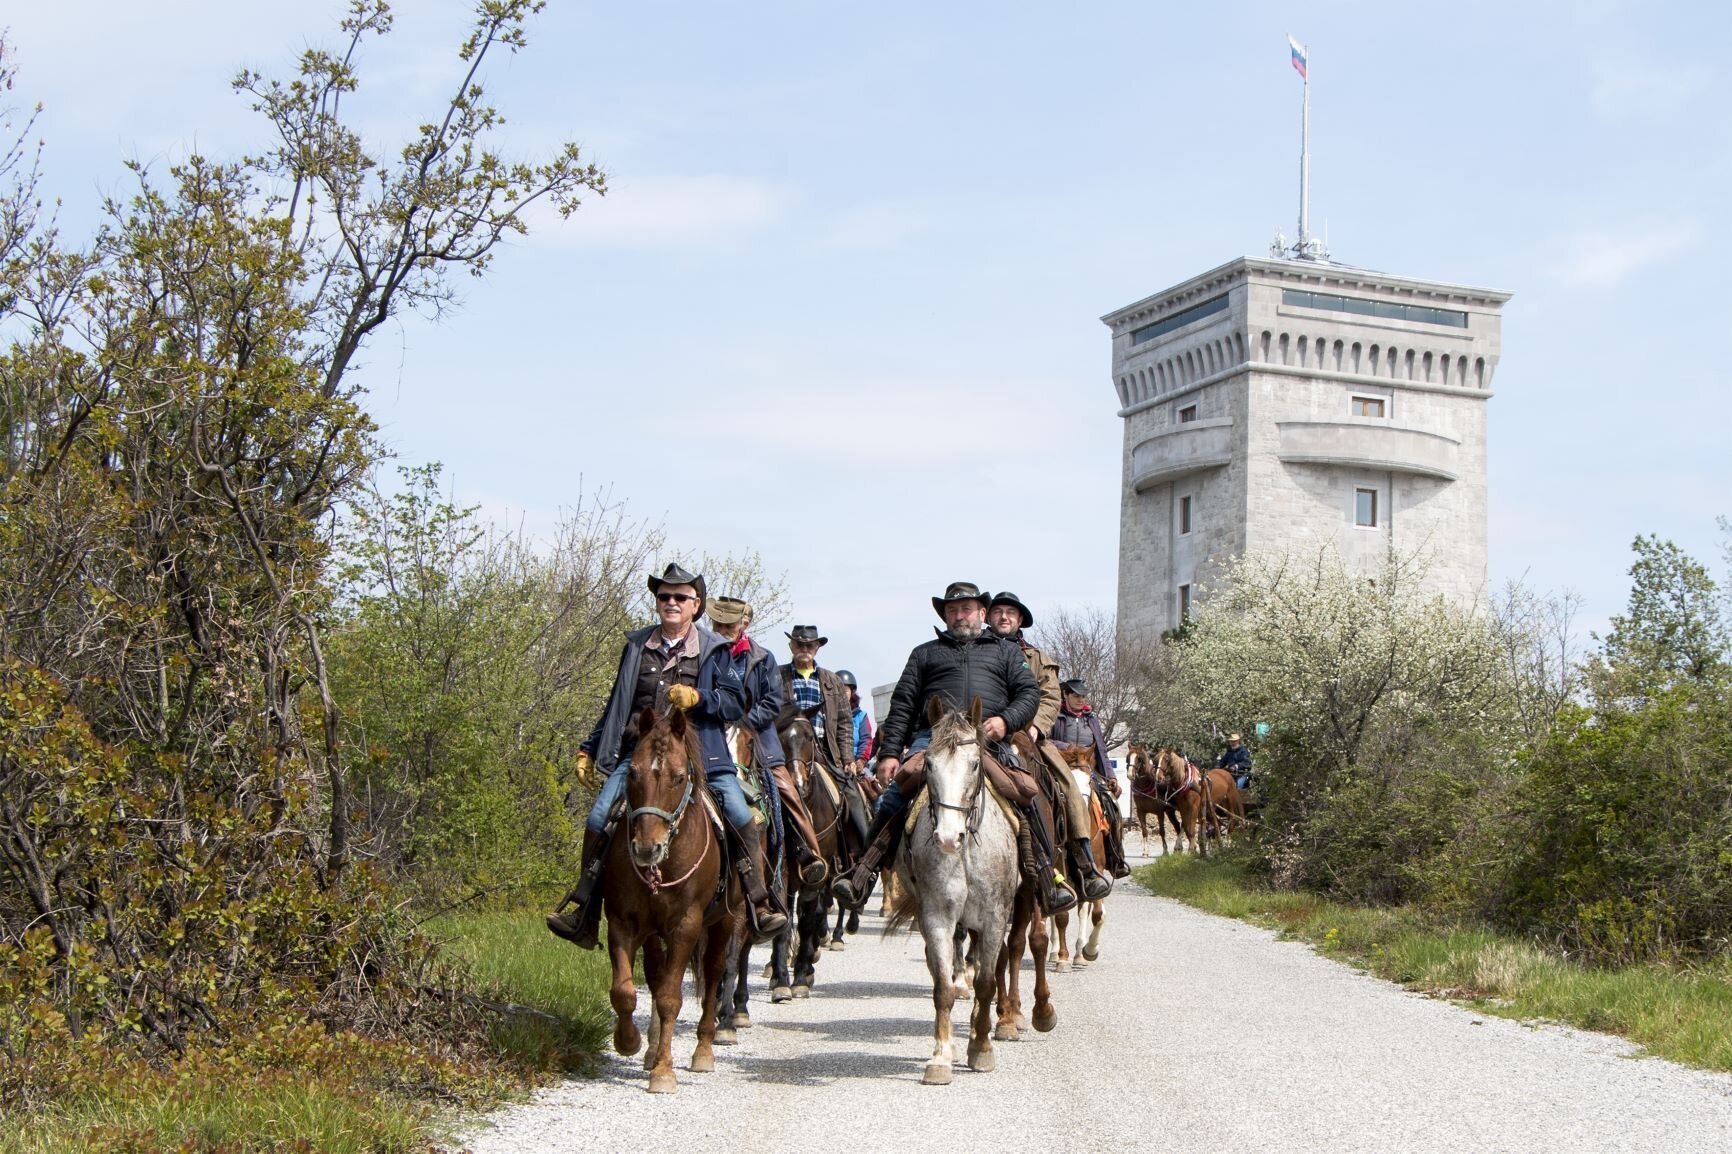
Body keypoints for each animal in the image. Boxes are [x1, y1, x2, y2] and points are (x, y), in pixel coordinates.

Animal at [599, 700, 741, 1088]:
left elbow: (669, 997)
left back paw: (704, 1050)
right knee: (655, 973)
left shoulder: (685, 926)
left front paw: (663, 1071)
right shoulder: (623, 921)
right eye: (632, 773)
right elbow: (625, 990)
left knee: (714, 972)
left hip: (724, 921)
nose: (648, 848)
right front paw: (629, 1042)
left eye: (678, 777)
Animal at [886, 696, 1018, 1081]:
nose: (947, 837)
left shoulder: (994, 918)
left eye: (974, 764)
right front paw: (941, 1056)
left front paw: (982, 1048)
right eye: (929, 764)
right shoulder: (938, 917)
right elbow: (943, 987)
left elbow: (987, 984)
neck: (967, 852)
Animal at [1039, 741, 1108, 963]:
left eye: (1090, 781)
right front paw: (1062, 957)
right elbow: (1061, 916)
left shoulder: (1097, 869)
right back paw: (1054, 951)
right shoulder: (1061, 868)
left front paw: (1089, 950)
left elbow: (1096, 913)